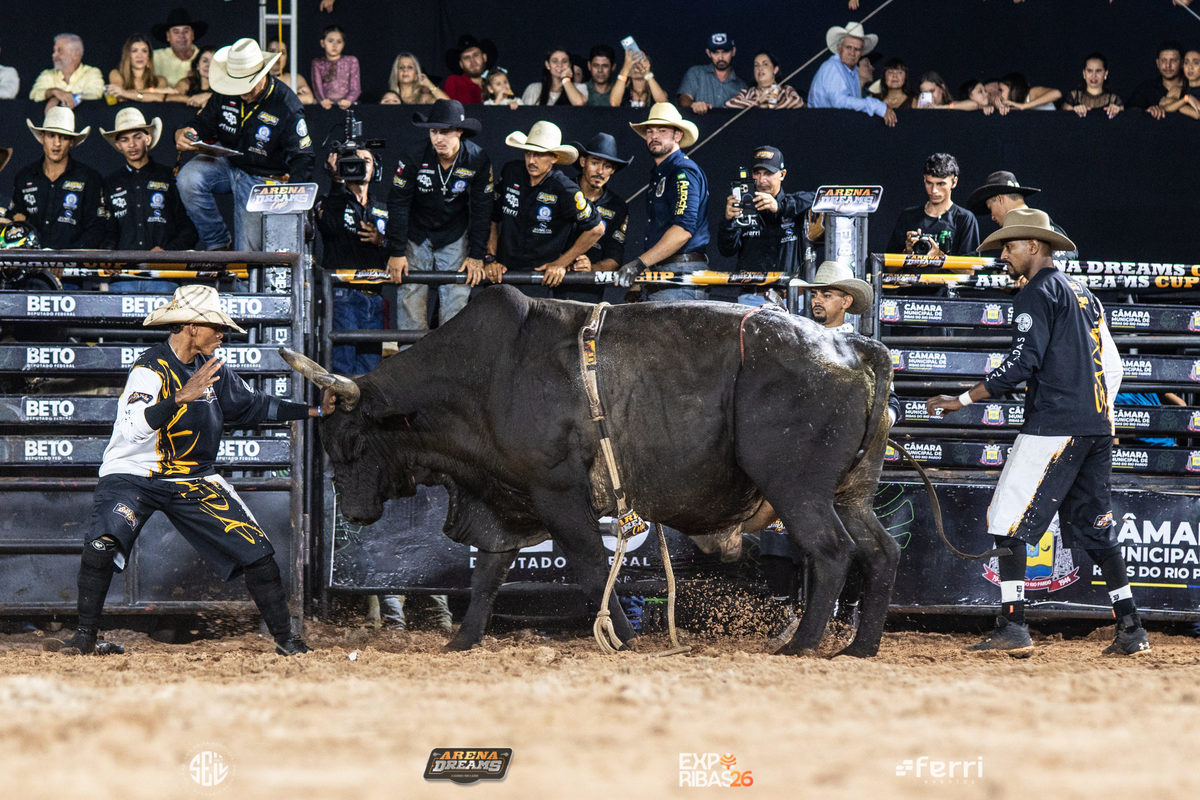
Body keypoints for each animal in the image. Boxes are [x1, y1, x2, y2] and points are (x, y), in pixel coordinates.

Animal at [287, 284, 898, 657]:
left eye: (351, 441)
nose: (354, 512)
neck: (485, 377)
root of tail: (851, 346)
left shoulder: (556, 492)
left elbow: (587, 565)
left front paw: (623, 638)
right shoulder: (507, 498)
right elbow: (488, 573)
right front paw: (461, 641)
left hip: (797, 489)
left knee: (831, 551)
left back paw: (801, 645)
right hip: (850, 491)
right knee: (881, 550)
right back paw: (859, 646)